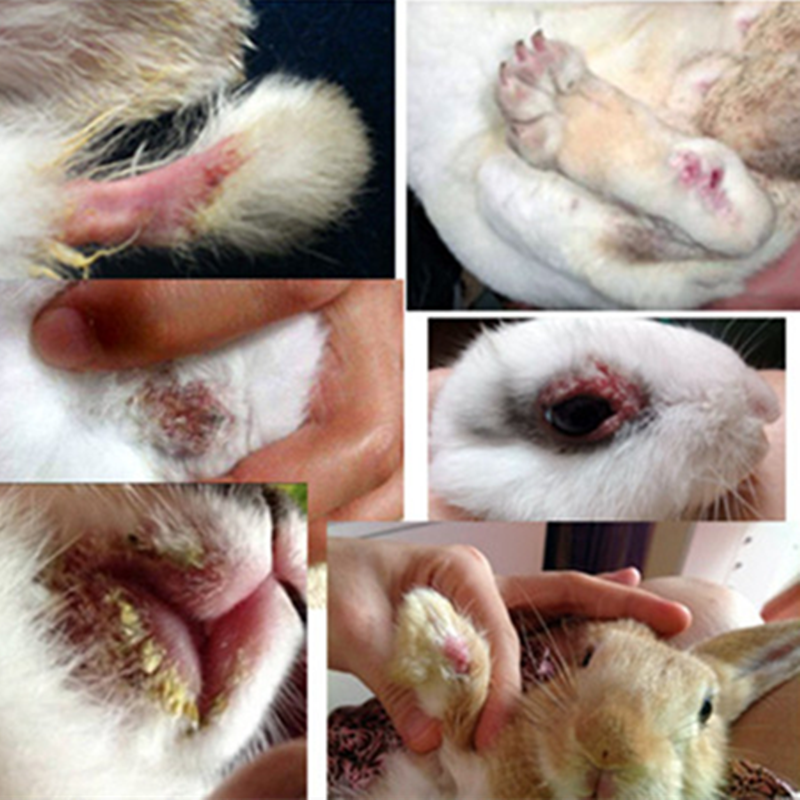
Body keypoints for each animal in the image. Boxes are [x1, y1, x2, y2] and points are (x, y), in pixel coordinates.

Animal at [353, 586, 800, 800]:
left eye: (706, 710)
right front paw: (436, 628)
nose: (609, 747)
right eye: (585, 658)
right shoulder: (456, 770)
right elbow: (455, 720)